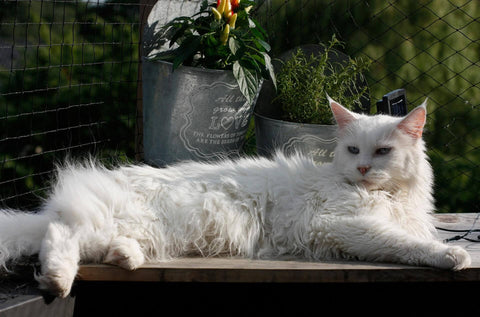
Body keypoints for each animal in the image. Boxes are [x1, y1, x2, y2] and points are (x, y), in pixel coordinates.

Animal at [0, 97, 470, 298]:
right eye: (355, 150)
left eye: (383, 151)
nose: (363, 169)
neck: (388, 197)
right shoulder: (340, 226)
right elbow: (404, 244)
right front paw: (452, 256)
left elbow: (411, 236)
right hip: (102, 221)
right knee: (59, 236)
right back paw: (58, 282)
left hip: (135, 230)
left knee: (88, 244)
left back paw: (125, 258)